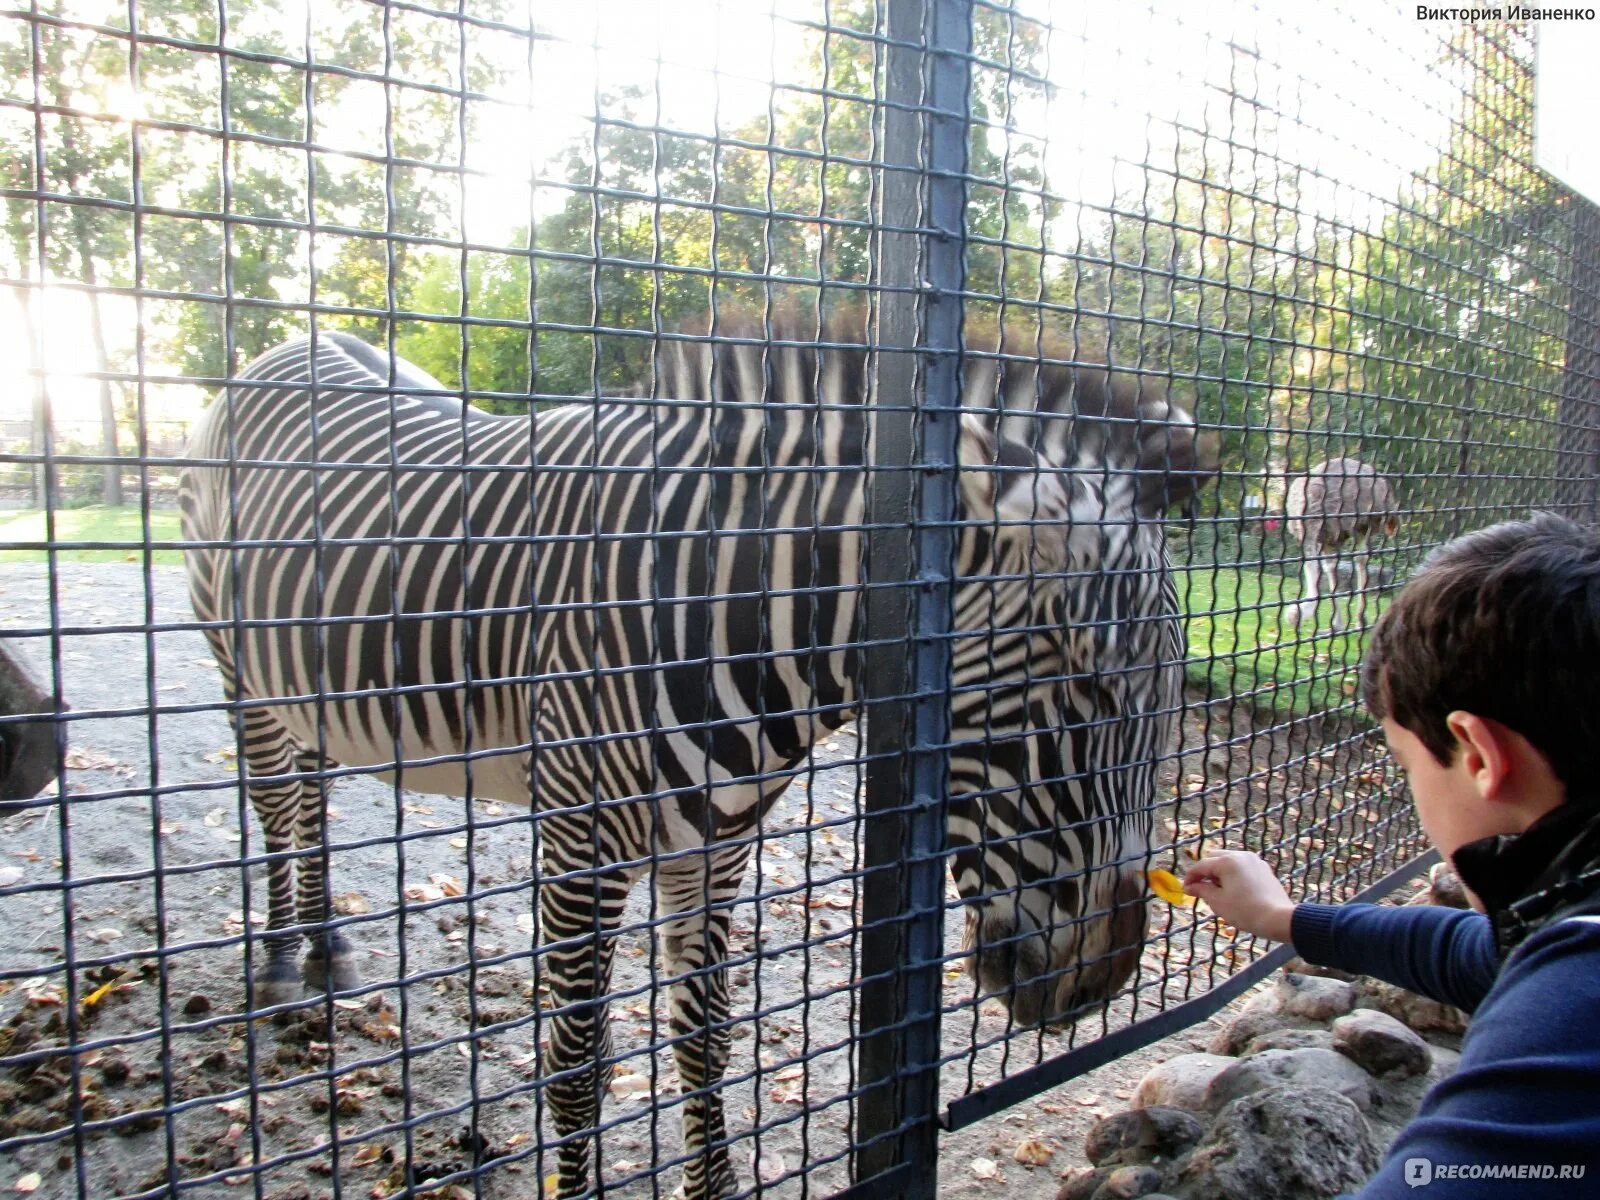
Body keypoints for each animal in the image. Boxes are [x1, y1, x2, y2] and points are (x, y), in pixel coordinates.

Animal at [178, 321, 1209, 1200]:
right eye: (1085, 681)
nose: (1104, 981)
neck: (733, 608)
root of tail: (293, 340)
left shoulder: (715, 846)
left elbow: (705, 1035)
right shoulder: (580, 845)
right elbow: (579, 1057)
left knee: (309, 797)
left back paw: (330, 947)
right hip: (238, 667)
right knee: (276, 801)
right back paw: (284, 959)